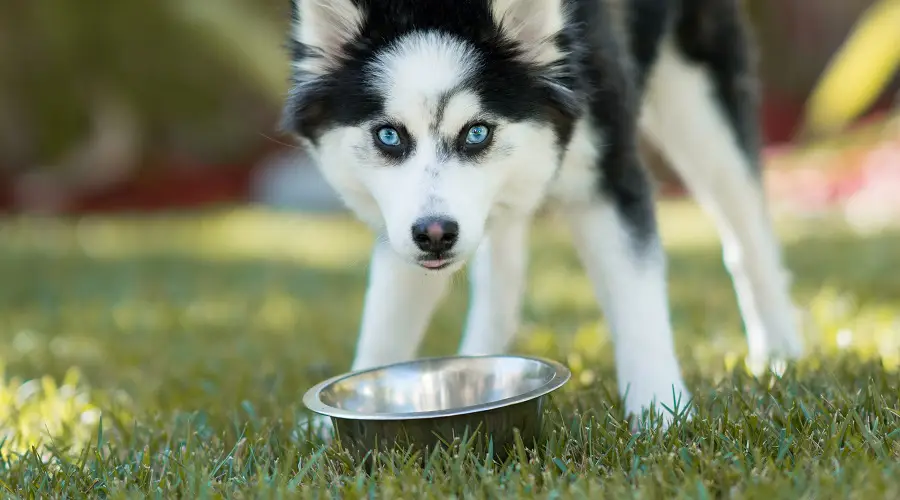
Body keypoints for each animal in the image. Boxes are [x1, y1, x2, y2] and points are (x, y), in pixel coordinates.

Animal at [284, 0, 804, 430]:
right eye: (389, 136)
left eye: (476, 133)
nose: (435, 235)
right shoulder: (400, 221)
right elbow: (386, 316)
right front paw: (340, 413)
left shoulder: (611, 174)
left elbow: (637, 300)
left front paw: (661, 412)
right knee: (502, 269)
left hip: (700, 105)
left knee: (746, 233)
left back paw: (780, 352)